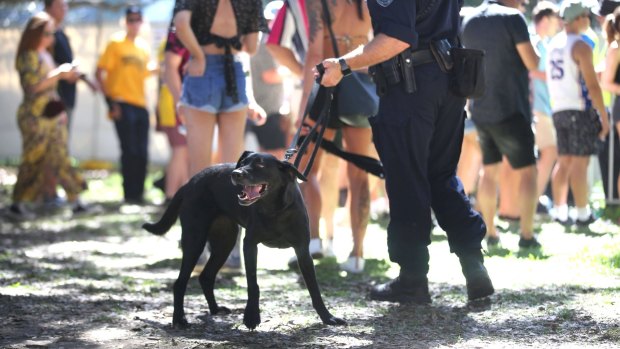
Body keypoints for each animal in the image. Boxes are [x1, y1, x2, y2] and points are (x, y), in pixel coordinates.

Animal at [142, 150, 344, 328]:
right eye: (243, 162)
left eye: (260, 164)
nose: (236, 173)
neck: (274, 210)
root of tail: (190, 182)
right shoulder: (250, 246)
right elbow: (253, 284)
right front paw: (251, 317)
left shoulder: (303, 251)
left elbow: (314, 288)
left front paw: (328, 317)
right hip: (195, 240)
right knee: (180, 283)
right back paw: (179, 319)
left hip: (225, 243)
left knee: (206, 276)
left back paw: (215, 309)